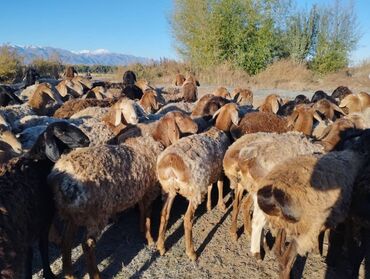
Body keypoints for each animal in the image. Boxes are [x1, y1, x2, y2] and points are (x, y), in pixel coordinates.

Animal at [0, 122, 89, 279]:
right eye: (61, 132)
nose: (86, 141)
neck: (38, 162)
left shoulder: (28, 228)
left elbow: (30, 254)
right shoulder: (42, 219)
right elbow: (42, 247)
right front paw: (49, 273)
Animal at [49, 110, 199, 278]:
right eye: (181, 117)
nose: (196, 127)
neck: (157, 139)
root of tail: (59, 177)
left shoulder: (141, 190)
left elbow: (143, 211)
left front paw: (142, 230)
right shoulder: (150, 190)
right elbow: (148, 215)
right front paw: (150, 239)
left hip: (72, 214)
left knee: (66, 241)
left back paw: (69, 272)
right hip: (95, 214)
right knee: (87, 245)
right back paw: (95, 274)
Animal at [156, 128, 231, 262]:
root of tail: (170, 163)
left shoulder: (209, 174)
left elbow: (211, 186)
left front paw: (209, 206)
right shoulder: (220, 170)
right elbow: (220, 185)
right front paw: (222, 205)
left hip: (168, 190)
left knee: (164, 213)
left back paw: (161, 246)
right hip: (194, 191)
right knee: (187, 219)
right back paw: (192, 253)